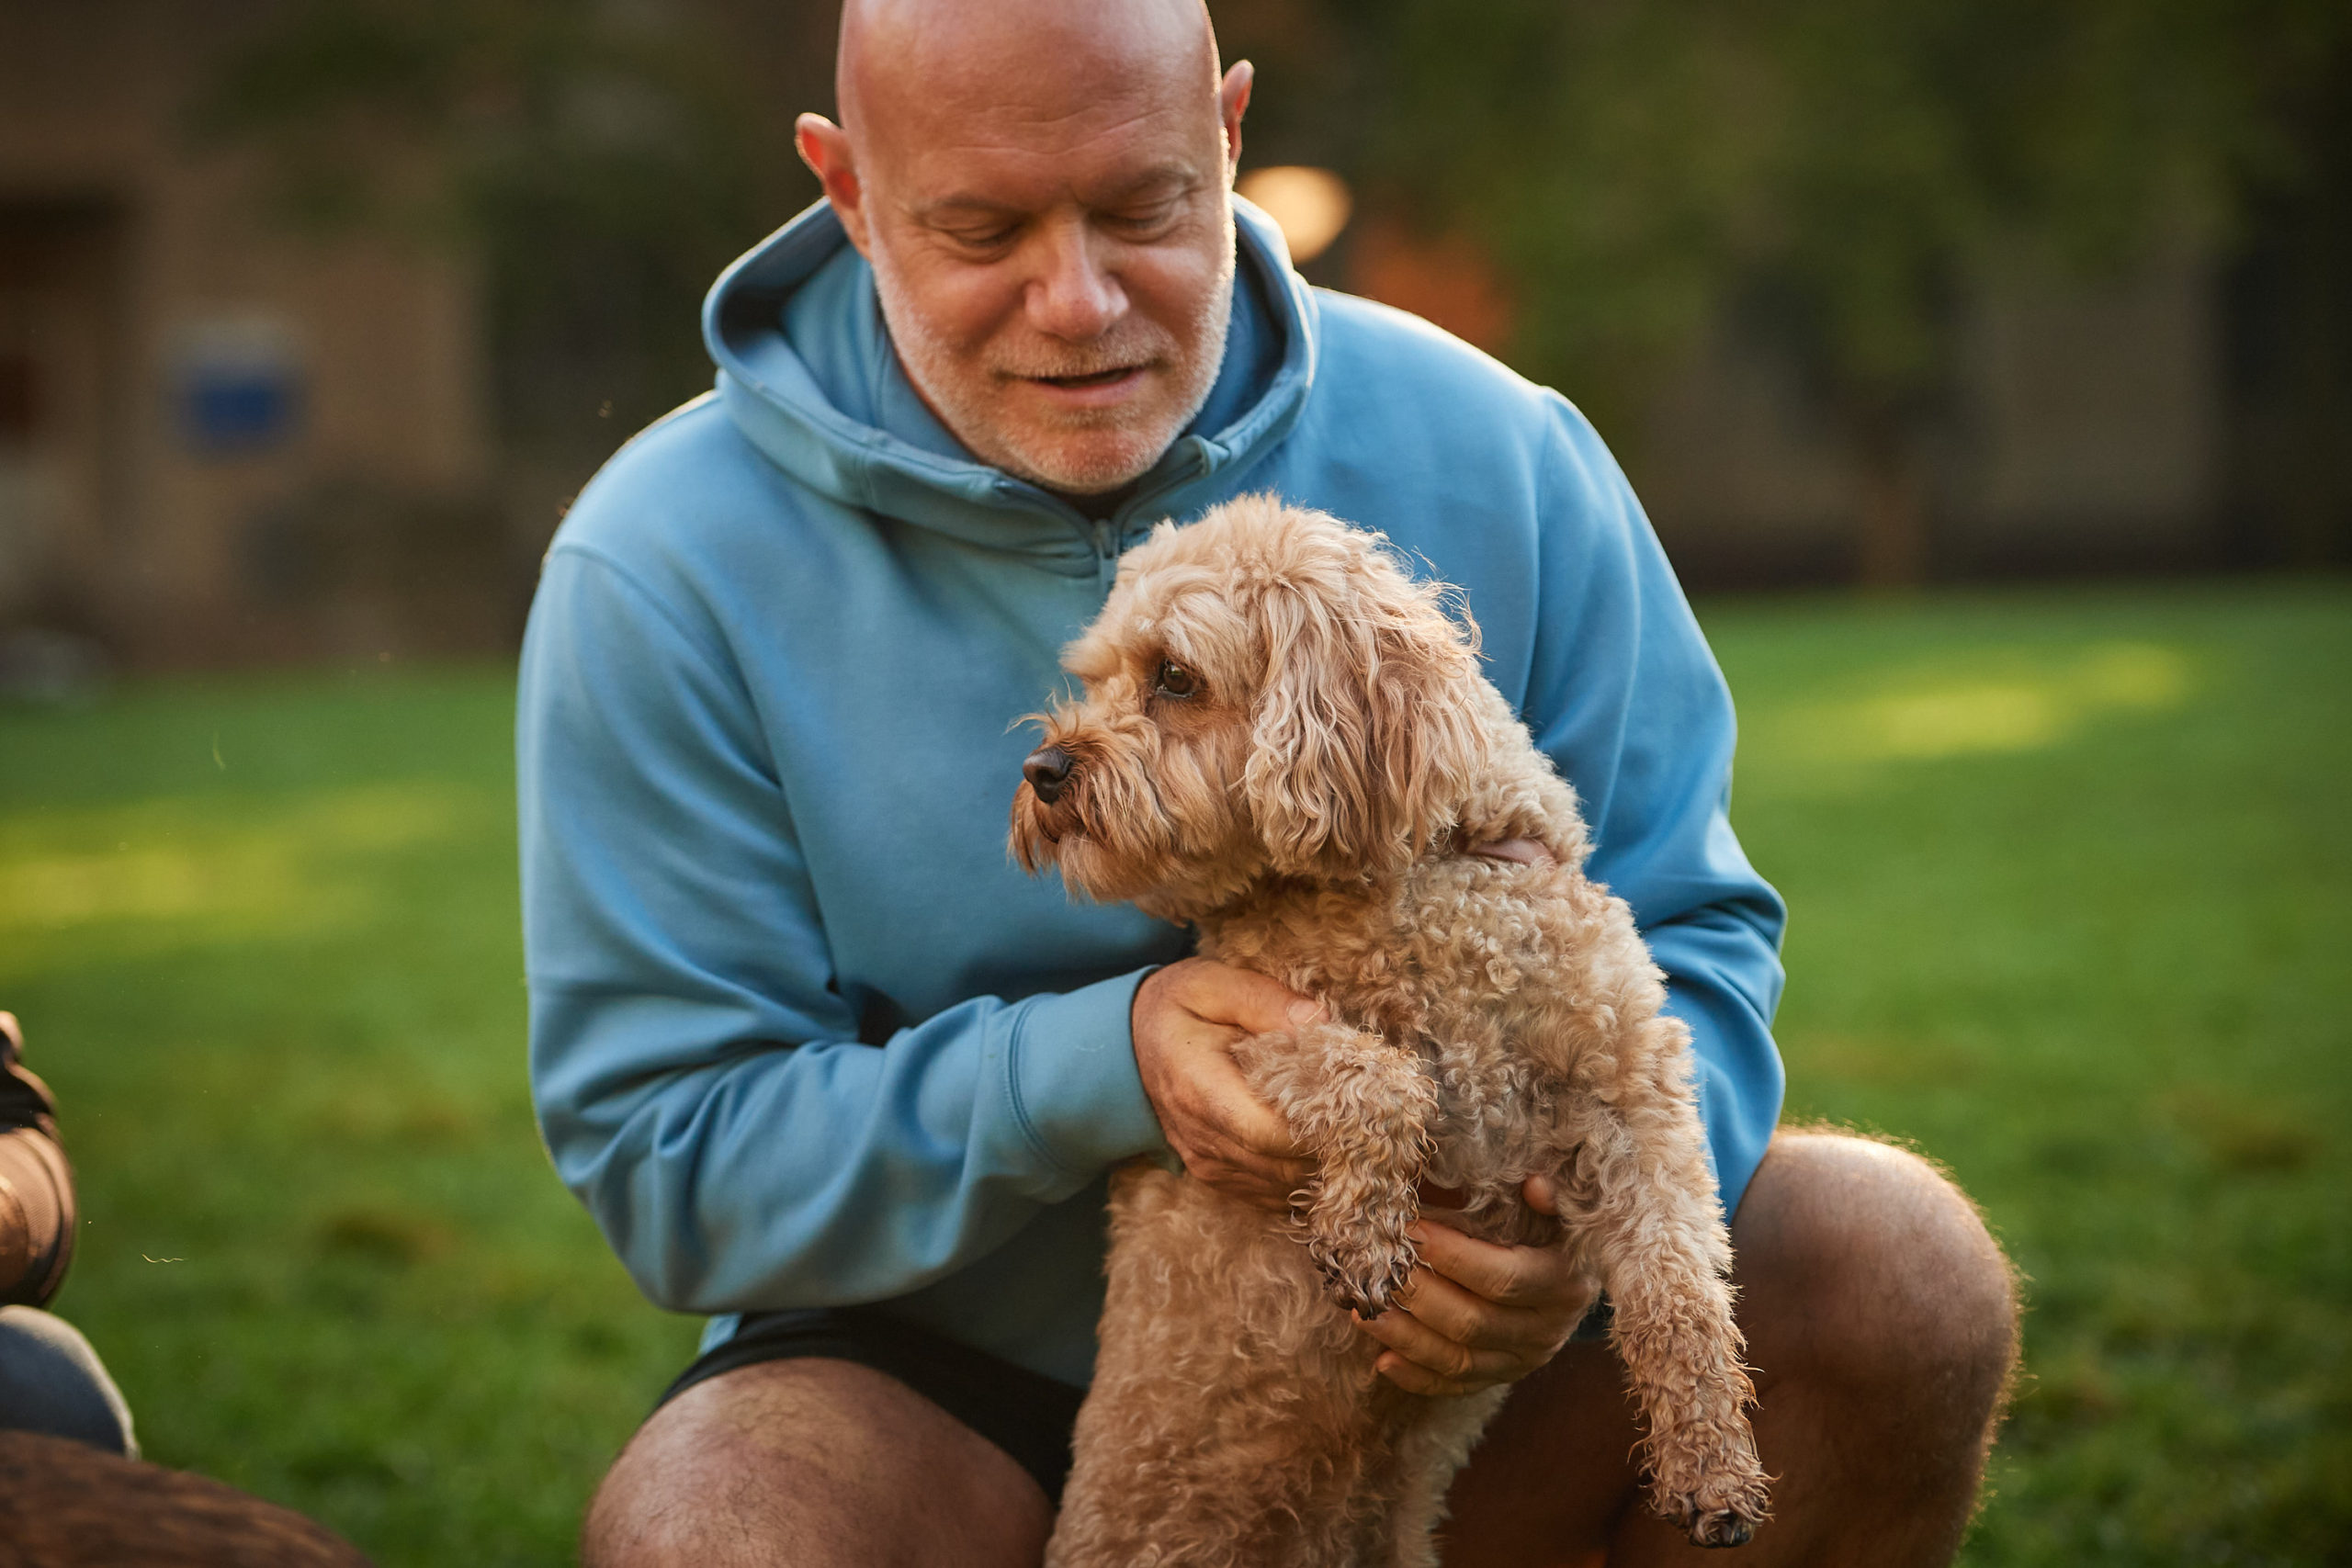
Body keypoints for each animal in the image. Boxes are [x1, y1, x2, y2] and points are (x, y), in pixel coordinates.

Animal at [1006, 495, 1769, 1561]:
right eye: (1096, 675)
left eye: (1174, 677)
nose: (1043, 769)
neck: (1427, 878)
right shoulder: (1239, 1038)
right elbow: (1384, 1075)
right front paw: (1364, 1232)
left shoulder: (1635, 1099)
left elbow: (1681, 1284)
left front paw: (1713, 1466)